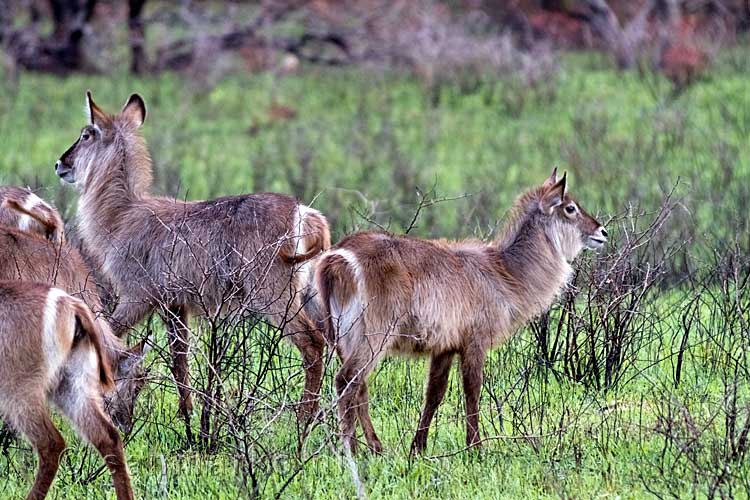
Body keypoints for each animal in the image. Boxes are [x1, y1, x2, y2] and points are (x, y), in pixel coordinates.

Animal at [312, 170, 612, 456]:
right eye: (570, 208)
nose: (603, 232)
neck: (504, 272)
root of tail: (336, 257)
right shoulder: (474, 341)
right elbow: (472, 391)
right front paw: (475, 447)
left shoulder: (445, 346)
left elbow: (434, 394)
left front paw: (417, 448)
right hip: (372, 335)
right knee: (347, 381)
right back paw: (352, 449)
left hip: (344, 338)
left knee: (359, 386)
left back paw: (375, 447)